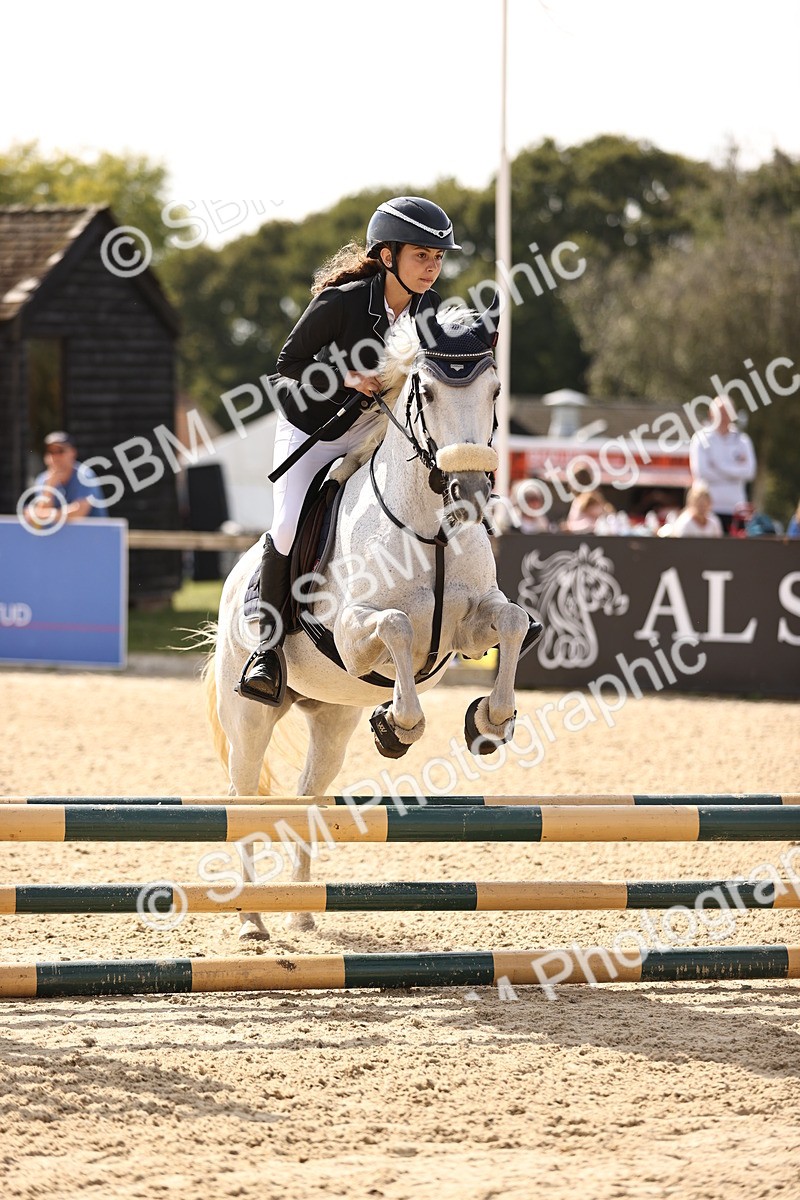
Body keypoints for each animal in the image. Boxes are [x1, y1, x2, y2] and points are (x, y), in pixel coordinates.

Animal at [205, 292, 534, 939]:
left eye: (495, 390)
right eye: (425, 391)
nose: (468, 491)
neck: (431, 524)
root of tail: (230, 588)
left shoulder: (471, 625)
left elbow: (512, 622)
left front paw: (488, 721)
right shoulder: (353, 638)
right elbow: (397, 628)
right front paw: (397, 726)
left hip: (330, 716)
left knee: (308, 794)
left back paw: (303, 912)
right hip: (251, 715)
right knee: (242, 796)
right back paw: (252, 917)